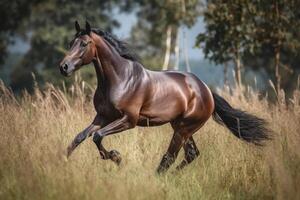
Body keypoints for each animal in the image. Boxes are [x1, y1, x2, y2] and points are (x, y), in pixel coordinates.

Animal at [58, 20, 270, 173]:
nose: (64, 67)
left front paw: (116, 157)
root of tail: (206, 90)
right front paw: (63, 161)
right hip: (181, 127)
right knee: (191, 154)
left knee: (171, 157)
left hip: (183, 129)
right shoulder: (102, 117)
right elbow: (81, 137)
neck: (120, 78)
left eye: (84, 44)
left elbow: (97, 136)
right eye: (70, 43)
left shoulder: (128, 120)